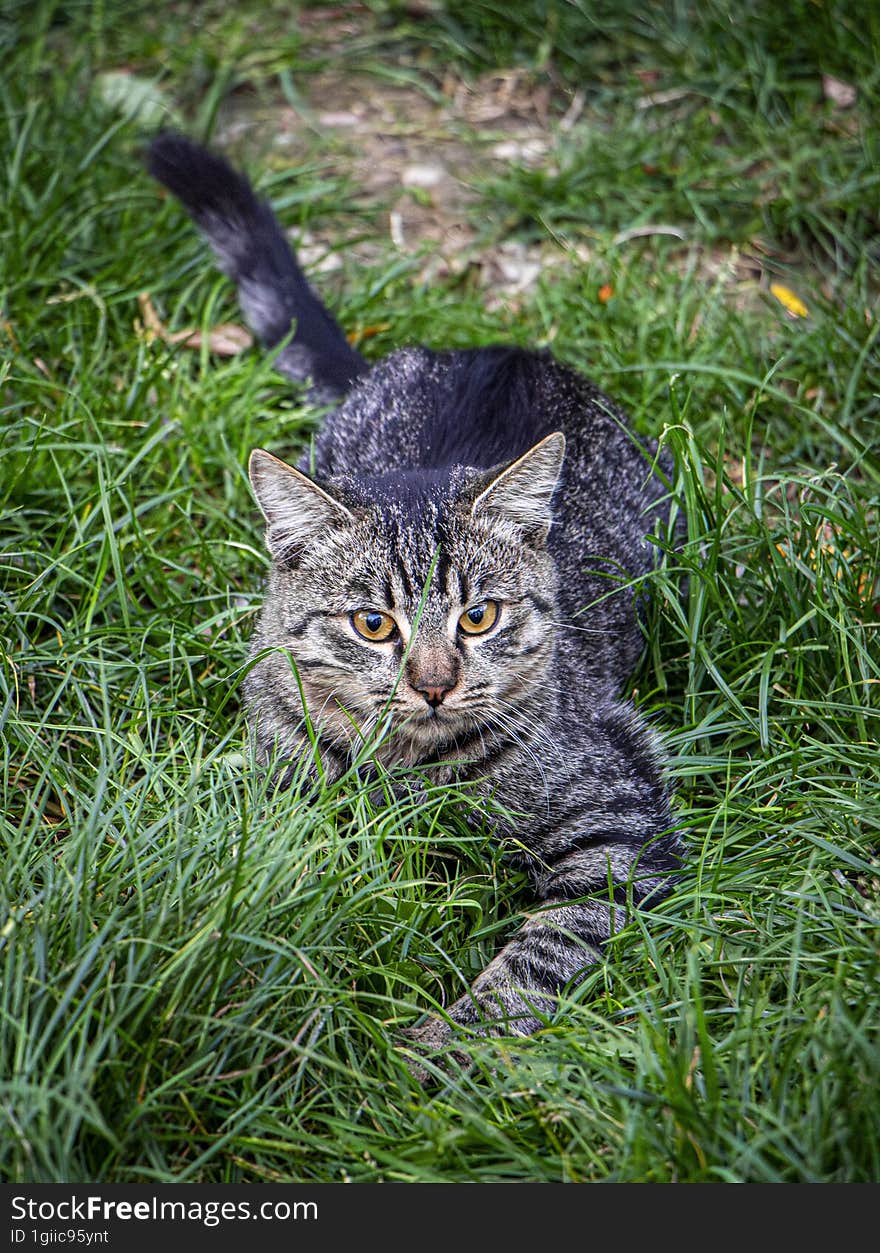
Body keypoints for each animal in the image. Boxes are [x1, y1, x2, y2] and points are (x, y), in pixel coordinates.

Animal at [147, 134, 681, 1057]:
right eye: (373, 623)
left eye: (479, 616)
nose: (433, 683)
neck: (409, 768)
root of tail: (493, 348)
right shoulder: (276, 794)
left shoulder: (620, 813)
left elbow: (538, 956)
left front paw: (439, 1052)